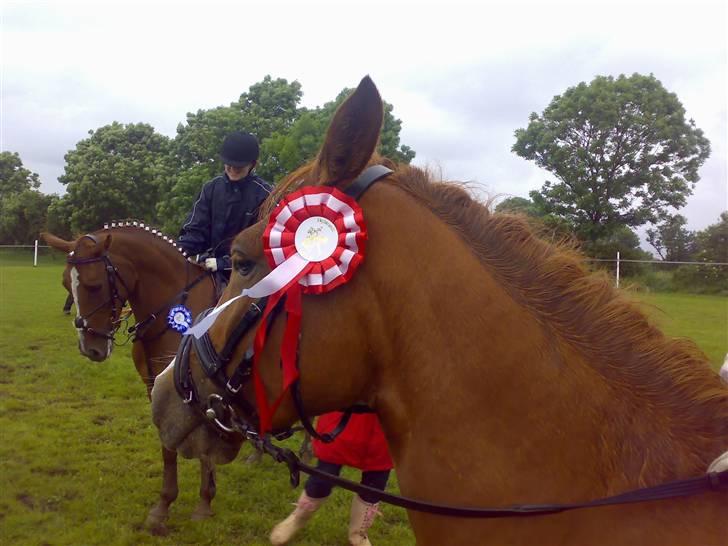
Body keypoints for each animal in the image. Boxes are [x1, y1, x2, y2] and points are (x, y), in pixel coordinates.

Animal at [43, 223, 236, 532]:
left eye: (95, 285)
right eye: (65, 284)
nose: (90, 348)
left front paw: (204, 503)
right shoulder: (157, 390)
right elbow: (168, 446)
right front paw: (163, 506)